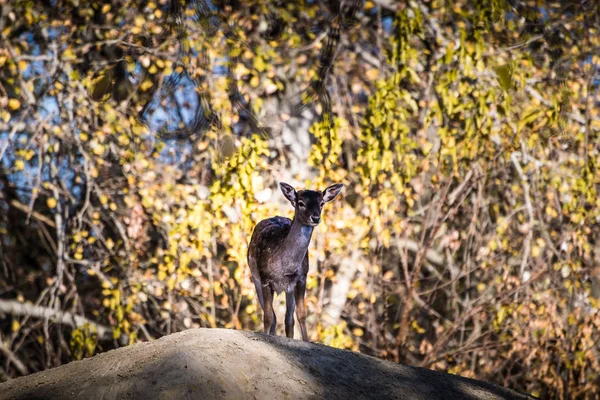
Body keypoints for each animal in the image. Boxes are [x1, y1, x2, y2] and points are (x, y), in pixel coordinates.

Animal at [247, 181, 342, 340]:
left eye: (321, 203)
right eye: (301, 203)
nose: (315, 218)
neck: (285, 266)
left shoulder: (301, 278)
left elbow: (301, 314)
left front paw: (307, 341)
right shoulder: (265, 279)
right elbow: (268, 316)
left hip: (289, 288)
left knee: (288, 319)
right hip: (255, 278)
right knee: (273, 316)